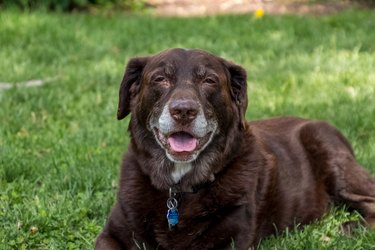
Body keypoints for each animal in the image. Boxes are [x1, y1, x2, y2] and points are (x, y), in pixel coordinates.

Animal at [94, 47, 375, 249]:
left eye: (209, 80)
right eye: (160, 79)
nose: (184, 111)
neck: (178, 189)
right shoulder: (111, 234)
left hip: (330, 154)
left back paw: (348, 228)